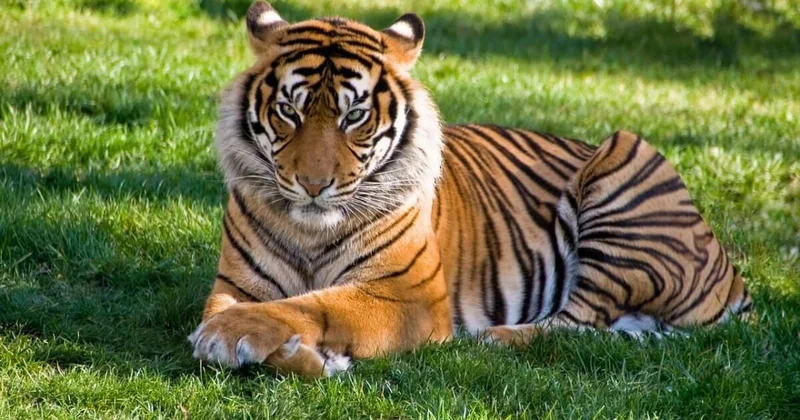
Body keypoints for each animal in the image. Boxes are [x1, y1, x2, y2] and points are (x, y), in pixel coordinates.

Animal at [188, 1, 752, 377]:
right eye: (289, 111)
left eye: (354, 116)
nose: (312, 185)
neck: (311, 231)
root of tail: (732, 276)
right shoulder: (235, 282)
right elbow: (248, 309)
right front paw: (299, 354)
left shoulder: (409, 296)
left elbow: (315, 304)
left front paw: (232, 336)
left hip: (625, 155)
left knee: (578, 321)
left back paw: (493, 338)